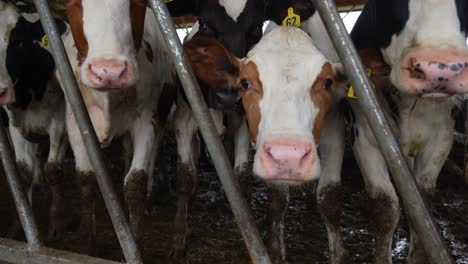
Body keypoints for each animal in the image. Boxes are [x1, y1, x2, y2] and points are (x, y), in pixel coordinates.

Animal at [0, 1, 69, 241]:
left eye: (18, 43)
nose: (0, 91)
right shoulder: (14, 123)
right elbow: (24, 171)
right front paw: (19, 227)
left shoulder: (60, 120)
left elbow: (54, 169)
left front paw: (56, 227)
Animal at [63, 0, 176, 252]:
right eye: (74, 4)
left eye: (137, 3)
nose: (109, 71)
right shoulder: (74, 121)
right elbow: (85, 178)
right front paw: (87, 244)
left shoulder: (146, 118)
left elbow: (135, 183)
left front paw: (133, 246)